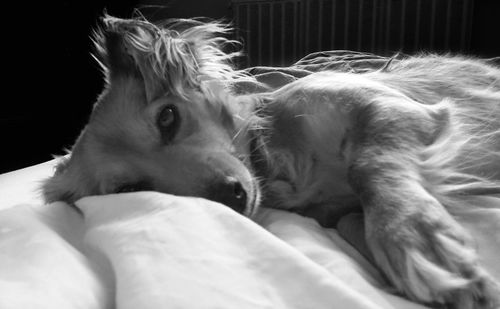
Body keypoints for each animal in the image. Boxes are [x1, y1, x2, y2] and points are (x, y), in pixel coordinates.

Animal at [42, 15, 500, 308]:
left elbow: (368, 164)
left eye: (167, 118)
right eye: (131, 190)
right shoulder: (336, 211)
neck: (276, 160)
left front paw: (414, 235)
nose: (231, 195)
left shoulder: (391, 108)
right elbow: (352, 223)